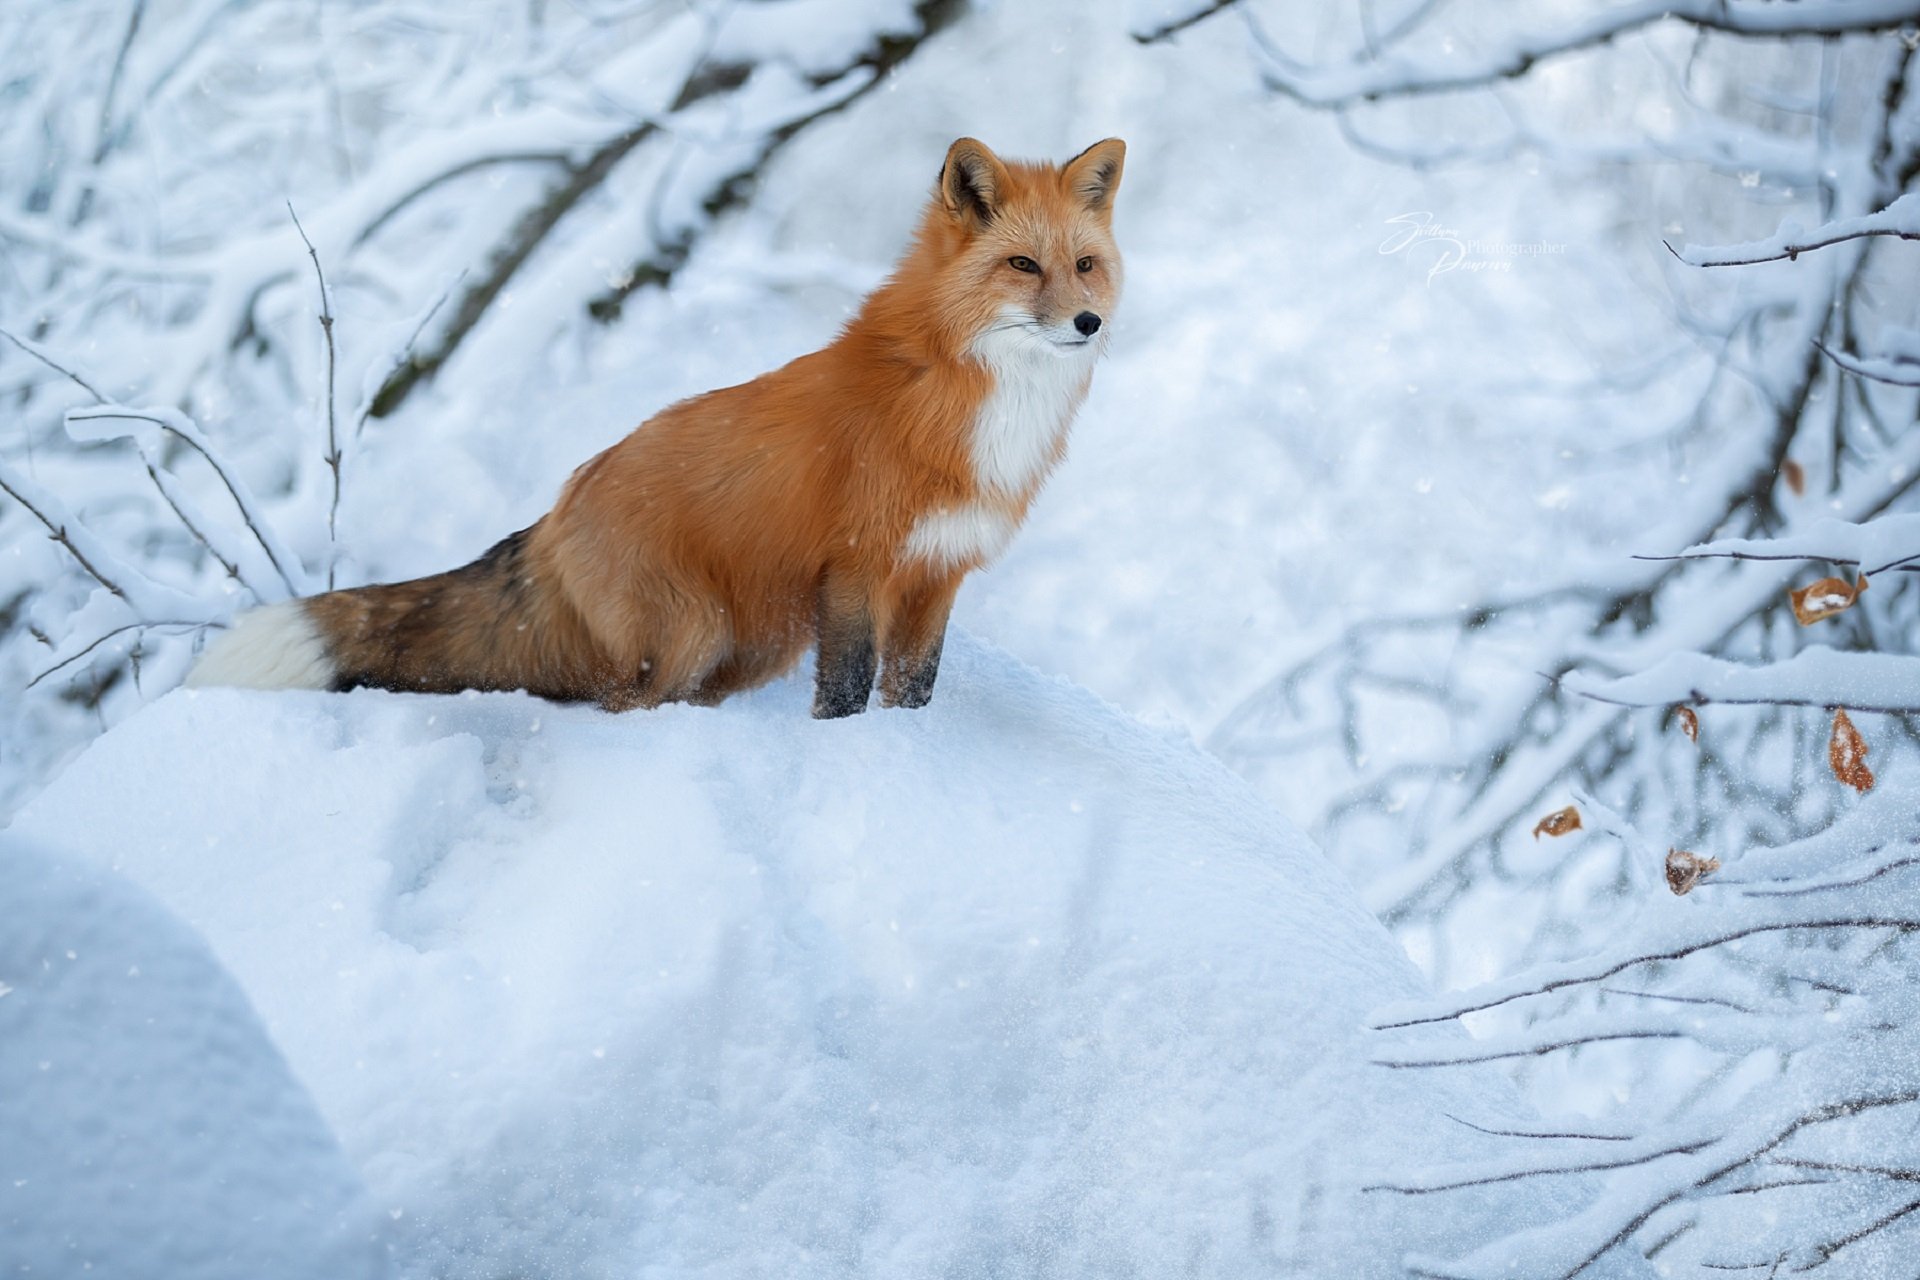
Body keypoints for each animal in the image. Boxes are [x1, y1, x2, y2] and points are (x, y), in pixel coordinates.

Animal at [185, 141, 1121, 725]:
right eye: (1021, 265)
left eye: (1084, 265)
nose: (1088, 322)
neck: (966, 394)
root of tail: (555, 513)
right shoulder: (858, 564)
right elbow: (847, 692)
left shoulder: (938, 571)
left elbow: (911, 691)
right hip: (694, 635)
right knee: (620, 707)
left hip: (752, 645)